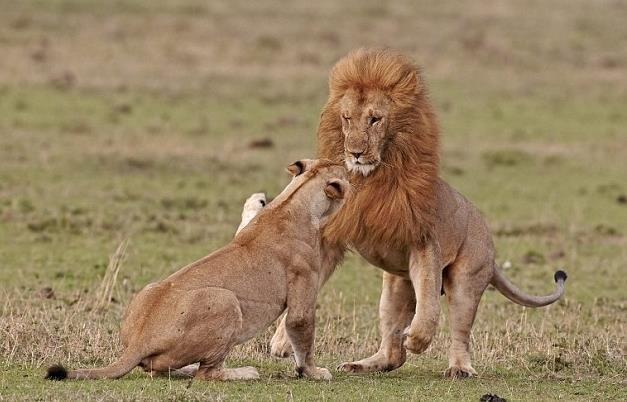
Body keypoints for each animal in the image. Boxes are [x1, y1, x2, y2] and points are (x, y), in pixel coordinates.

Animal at [270, 48, 568, 378]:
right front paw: (282, 341)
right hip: (395, 287)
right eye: (347, 118)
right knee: (393, 351)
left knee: (458, 330)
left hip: (467, 278)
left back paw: (458, 367)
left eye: (375, 119)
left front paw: (419, 338)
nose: (355, 152)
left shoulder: (424, 244)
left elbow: (429, 302)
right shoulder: (331, 239)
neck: (372, 179)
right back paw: (362, 364)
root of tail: (489, 240)